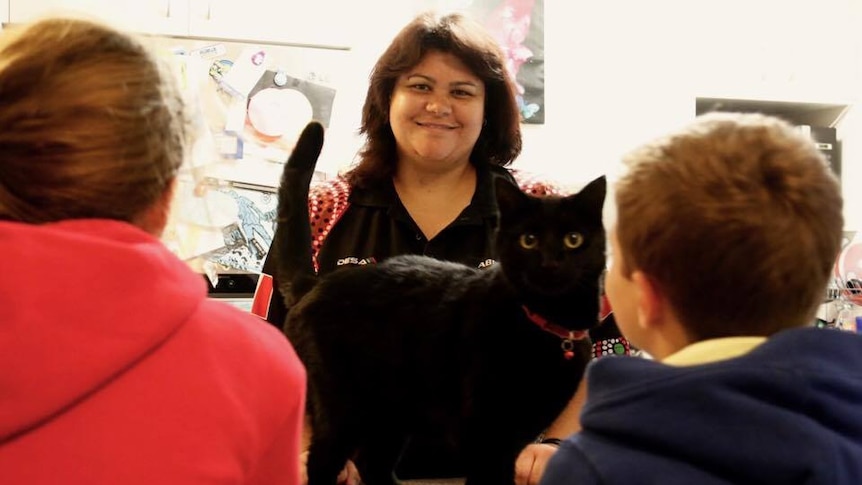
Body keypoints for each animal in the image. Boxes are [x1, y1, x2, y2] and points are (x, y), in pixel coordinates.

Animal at [278, 122, 608, 484]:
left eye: (573, 239)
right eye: (529, 240)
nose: (550, 262)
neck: (547, 328)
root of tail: (316, 282)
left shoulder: (514, 438)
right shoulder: (486, 434)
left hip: (392, 413)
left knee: (372, 461)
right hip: (344, 409)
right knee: (322, 463)